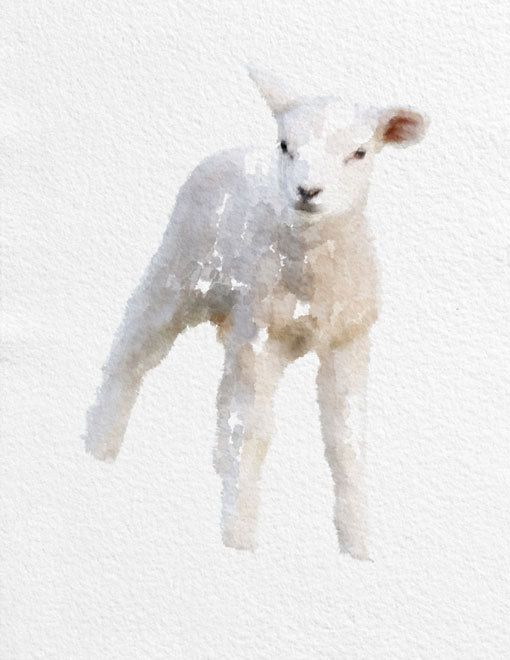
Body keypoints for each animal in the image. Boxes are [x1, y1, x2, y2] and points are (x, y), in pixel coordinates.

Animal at [84, 66, 428, 559]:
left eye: (360, 152)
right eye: (285, 144)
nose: (307, 191)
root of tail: (230, 151)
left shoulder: (348, 338)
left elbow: (346, 442)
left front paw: (358, 545)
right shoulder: (262, 336)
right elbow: (254, 433)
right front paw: (240, 538)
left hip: (239, 316)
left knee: (225, 390)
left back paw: (218, 468)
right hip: (177, 272)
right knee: (133, 353)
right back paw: (99, 448)